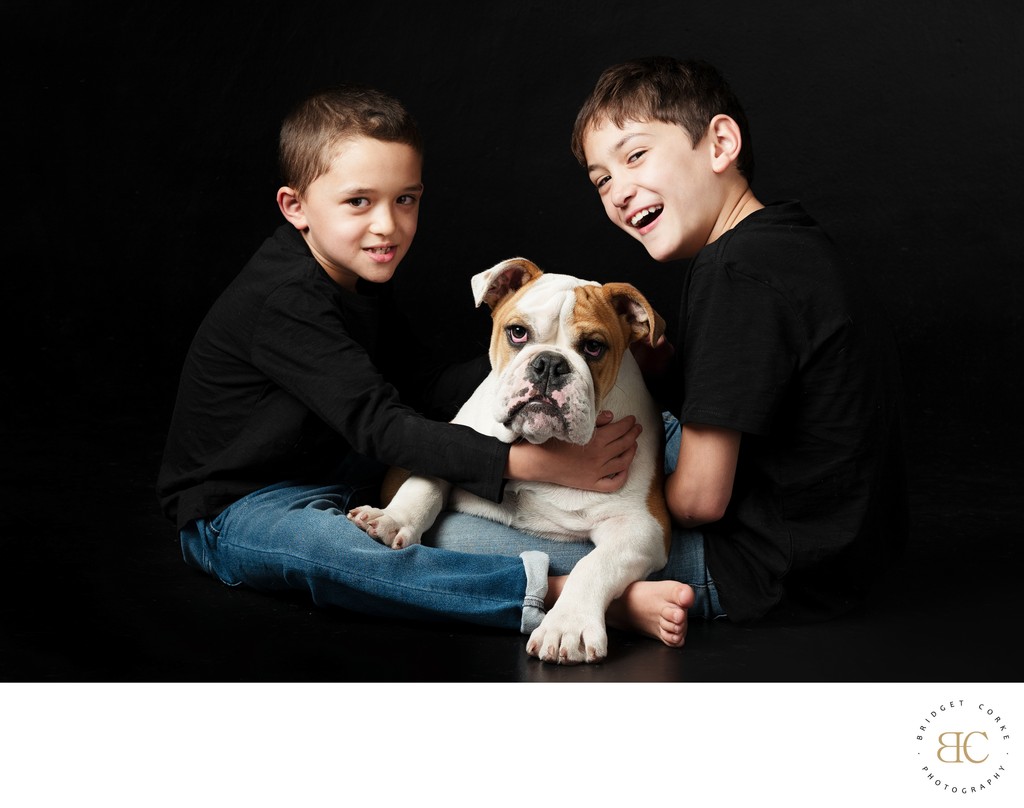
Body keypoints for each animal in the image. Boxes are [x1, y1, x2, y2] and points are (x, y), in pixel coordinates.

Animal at [348, 258, 675, 663]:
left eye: (594, 347)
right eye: (518, 333)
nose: (549, 363)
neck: (539, 445)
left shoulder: (642, 526)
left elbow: (593, 564)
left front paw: (568, 626)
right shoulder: (458, 444)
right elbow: (427, 481)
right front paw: (393, 519)